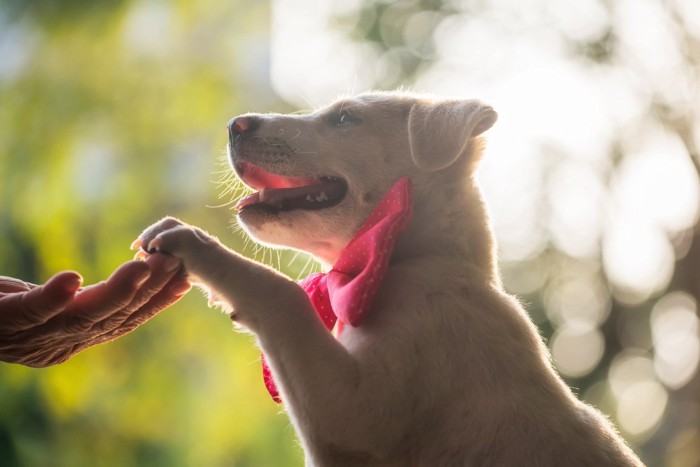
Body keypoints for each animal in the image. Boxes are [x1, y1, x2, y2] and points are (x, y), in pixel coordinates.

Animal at [135, 92, 644, 467]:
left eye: (346, 118)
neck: (411, 264)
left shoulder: (354, 417)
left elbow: (282, 295)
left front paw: (195, 243)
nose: (235, 125)